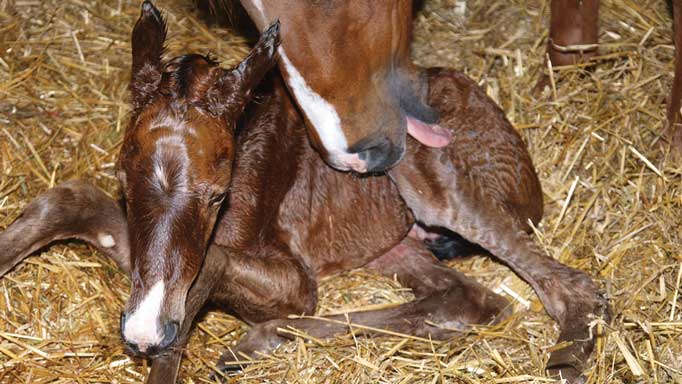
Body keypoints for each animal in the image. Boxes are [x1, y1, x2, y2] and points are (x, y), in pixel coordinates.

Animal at [0, 1, 604, 382]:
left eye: (219, 194)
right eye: (124, 180)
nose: (145, 334)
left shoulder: (282, 272)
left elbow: (213, 262)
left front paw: (170, 354)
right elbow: (71, 199)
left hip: (433, 179)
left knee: (570, 286)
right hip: (393, 246)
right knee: (468, 297)